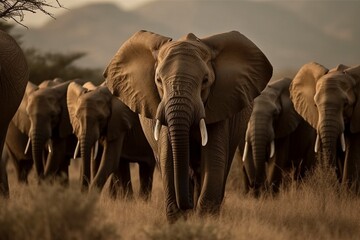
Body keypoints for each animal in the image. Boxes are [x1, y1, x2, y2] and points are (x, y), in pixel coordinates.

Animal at [102, 30, 272, 221]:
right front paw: (179, 219)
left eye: (205, 80)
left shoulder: (219, 105)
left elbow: (214, 159)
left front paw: (205, 220)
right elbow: (168, 159)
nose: (188, 205)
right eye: (158, 80)